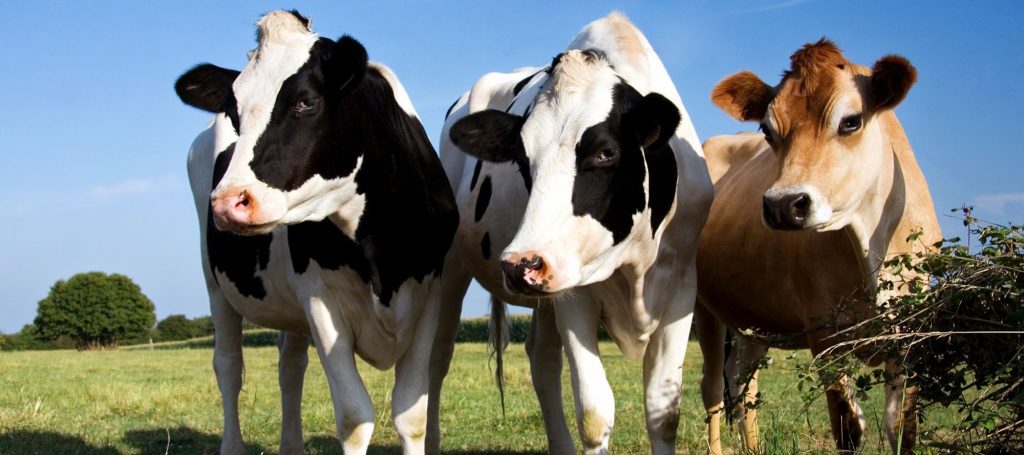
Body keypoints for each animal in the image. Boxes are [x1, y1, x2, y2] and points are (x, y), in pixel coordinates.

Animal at [174, 10, 457, 455]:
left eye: (306, 102)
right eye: (234, 113)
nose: (227, 202)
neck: (380, 253)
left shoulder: (429, 293)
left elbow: (411, 414)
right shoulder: (320, 299)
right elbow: (355, 416)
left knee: (290, 367)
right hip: (215, 282)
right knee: (228, 367)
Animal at [427, 12, 714, 454]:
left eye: (605, 153)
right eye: (521, 159)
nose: (520, 264)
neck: (633, 263)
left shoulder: (681, 285)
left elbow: (663, 412)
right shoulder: (573, 293)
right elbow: (595, 413)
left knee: (542, 360)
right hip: (456, 266)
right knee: (438, 359)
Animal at [694, 39, 941, 454]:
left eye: (851, 121)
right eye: (767, 129)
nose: (782, 204)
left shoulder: (912, 333)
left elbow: (903, 428)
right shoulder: (824, 332)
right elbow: (848, 428)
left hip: (752, 320)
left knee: (742, 384)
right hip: (701, 307)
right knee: (712, 389)